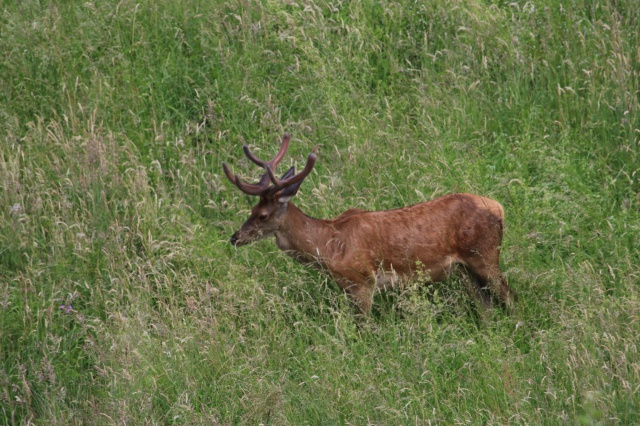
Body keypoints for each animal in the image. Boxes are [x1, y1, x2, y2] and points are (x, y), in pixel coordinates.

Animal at [222, 135, 516, 314]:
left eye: (262, 215)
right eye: (251, 209)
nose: (235, 237)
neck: (328, 247)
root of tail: (499, 208)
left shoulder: (362, 282)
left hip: (485, 255)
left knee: (510, 297)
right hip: (467, 267)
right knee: (487, 306)